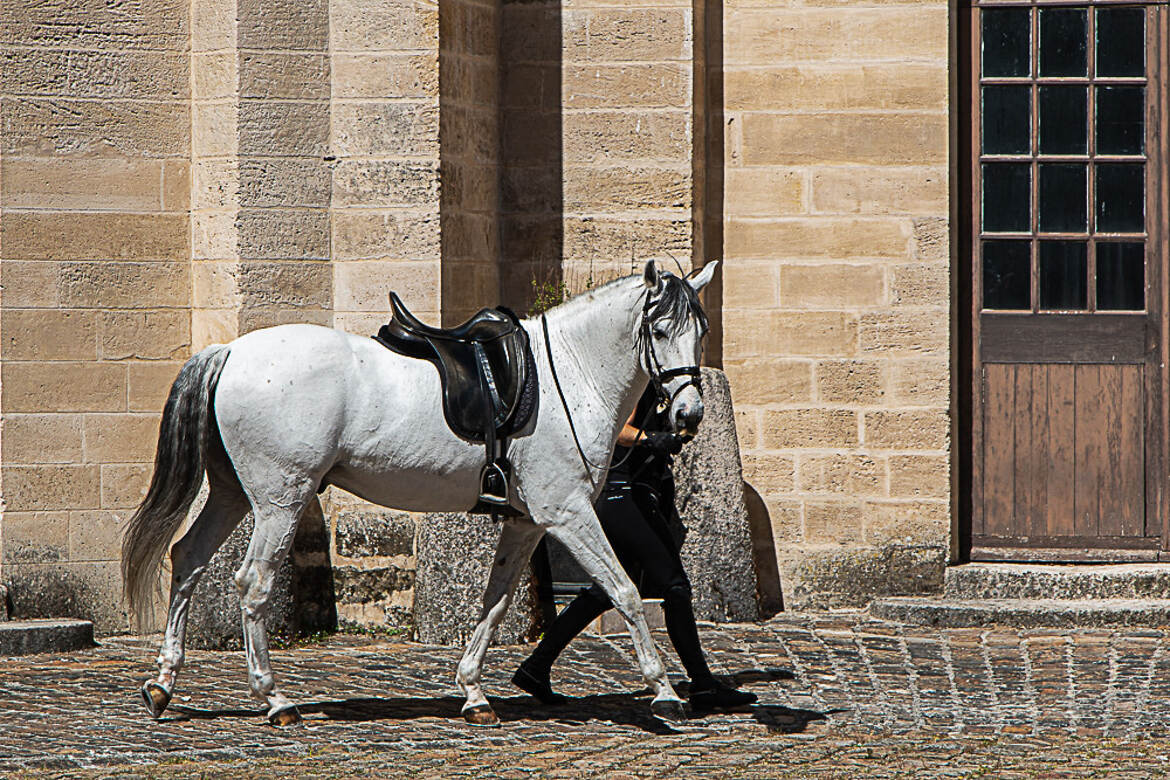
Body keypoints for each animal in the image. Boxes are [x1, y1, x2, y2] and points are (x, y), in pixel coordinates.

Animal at [123, 260, 716, 725]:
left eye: (701, 330)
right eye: (658, 330)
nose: (688, 416)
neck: (568, 376)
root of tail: (229, 351)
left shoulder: (527, 522)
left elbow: (496, 600)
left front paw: (474, 692)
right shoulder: (566, 514)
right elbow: (625, 592)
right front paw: (665, 692)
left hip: (233, 495)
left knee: (189, 558)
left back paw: (164, 685)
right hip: (279, 500)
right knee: (253, 582)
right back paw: (274, 699)